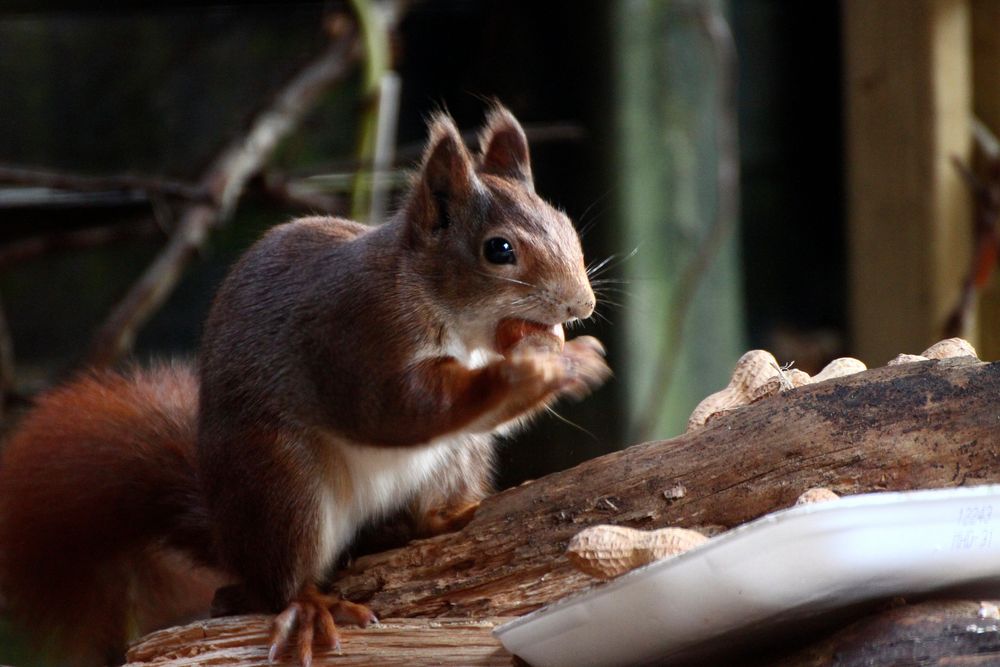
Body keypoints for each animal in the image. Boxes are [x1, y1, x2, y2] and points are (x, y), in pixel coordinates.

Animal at [0, 107, 608, 664]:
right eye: (499, 250)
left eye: (564, 224)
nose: (581, 305)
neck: (453, 318)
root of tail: (227, 537)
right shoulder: (356, 337)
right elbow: (398, 410)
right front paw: (537, 368)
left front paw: (569, 358)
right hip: (280, 482)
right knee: (276, 583)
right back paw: (308, 606)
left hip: (457, 458)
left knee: (410, 515)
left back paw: (437, 518)